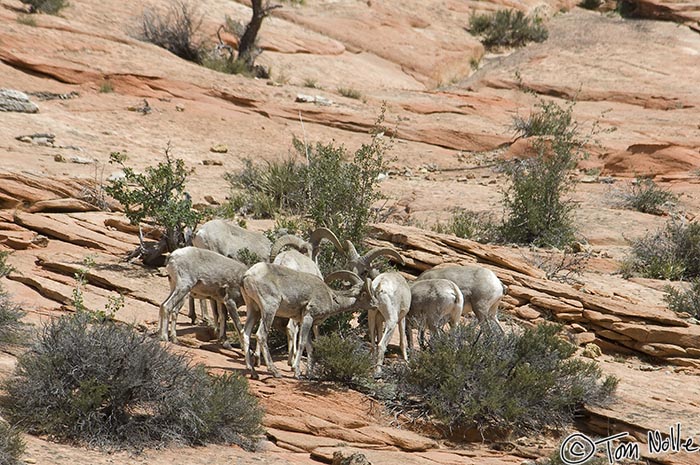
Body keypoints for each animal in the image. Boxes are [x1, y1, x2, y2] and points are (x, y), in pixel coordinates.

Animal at [241, 262, 372, 378]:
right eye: (365, 294)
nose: (374, 305)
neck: (331, 298)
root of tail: (248, 274)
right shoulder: (308, 318)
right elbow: (302, 343)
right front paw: (297, 372)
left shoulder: (308, 322)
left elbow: (310, 347)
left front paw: (310, 374)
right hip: (269, 309)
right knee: (261, 335)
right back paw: (274, 371)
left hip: (253, 309)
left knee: (245, 333)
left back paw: (253, 372)